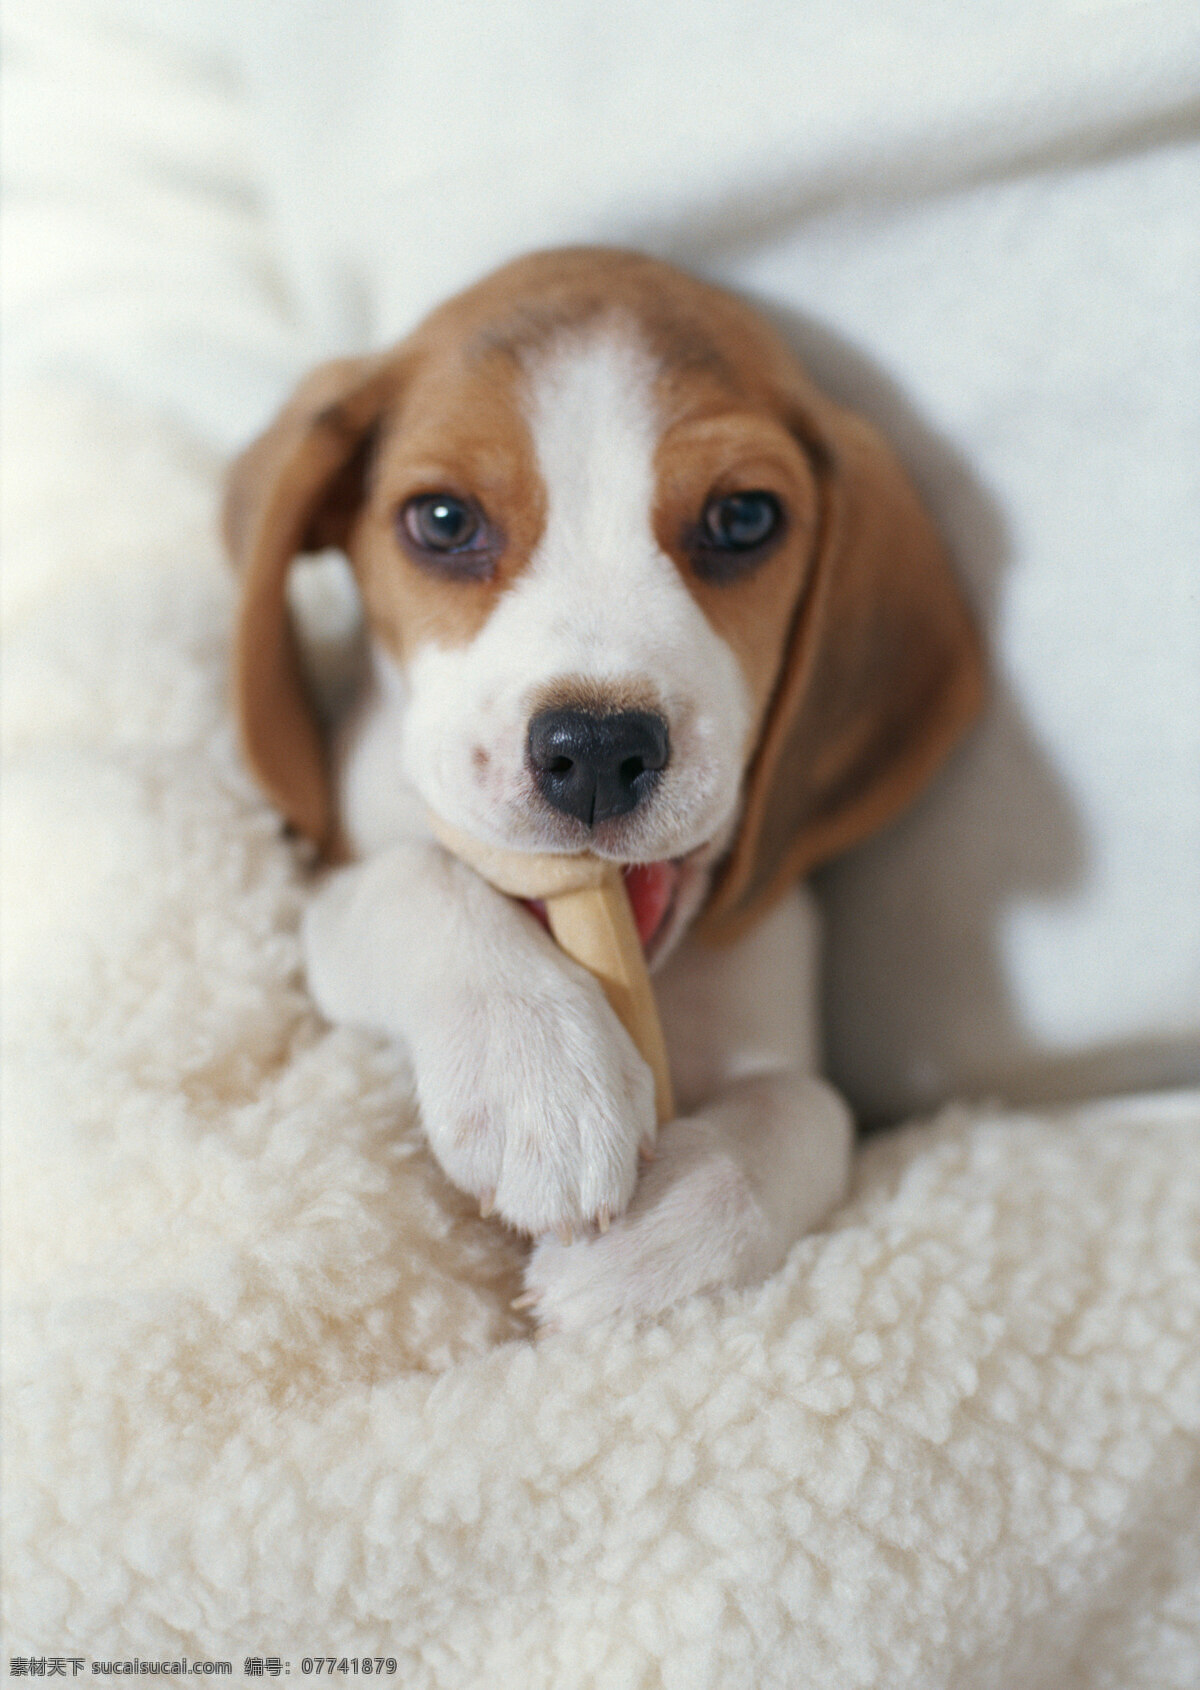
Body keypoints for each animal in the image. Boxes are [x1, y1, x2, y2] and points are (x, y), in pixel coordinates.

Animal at [228, 250, 987, 1331]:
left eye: (743, 518)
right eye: (443, 520)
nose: (594, 747)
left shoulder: (773, 995)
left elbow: (810, 1105)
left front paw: (668, 1230)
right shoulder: (330, 890)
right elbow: (419, 879)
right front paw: (536, 1074)